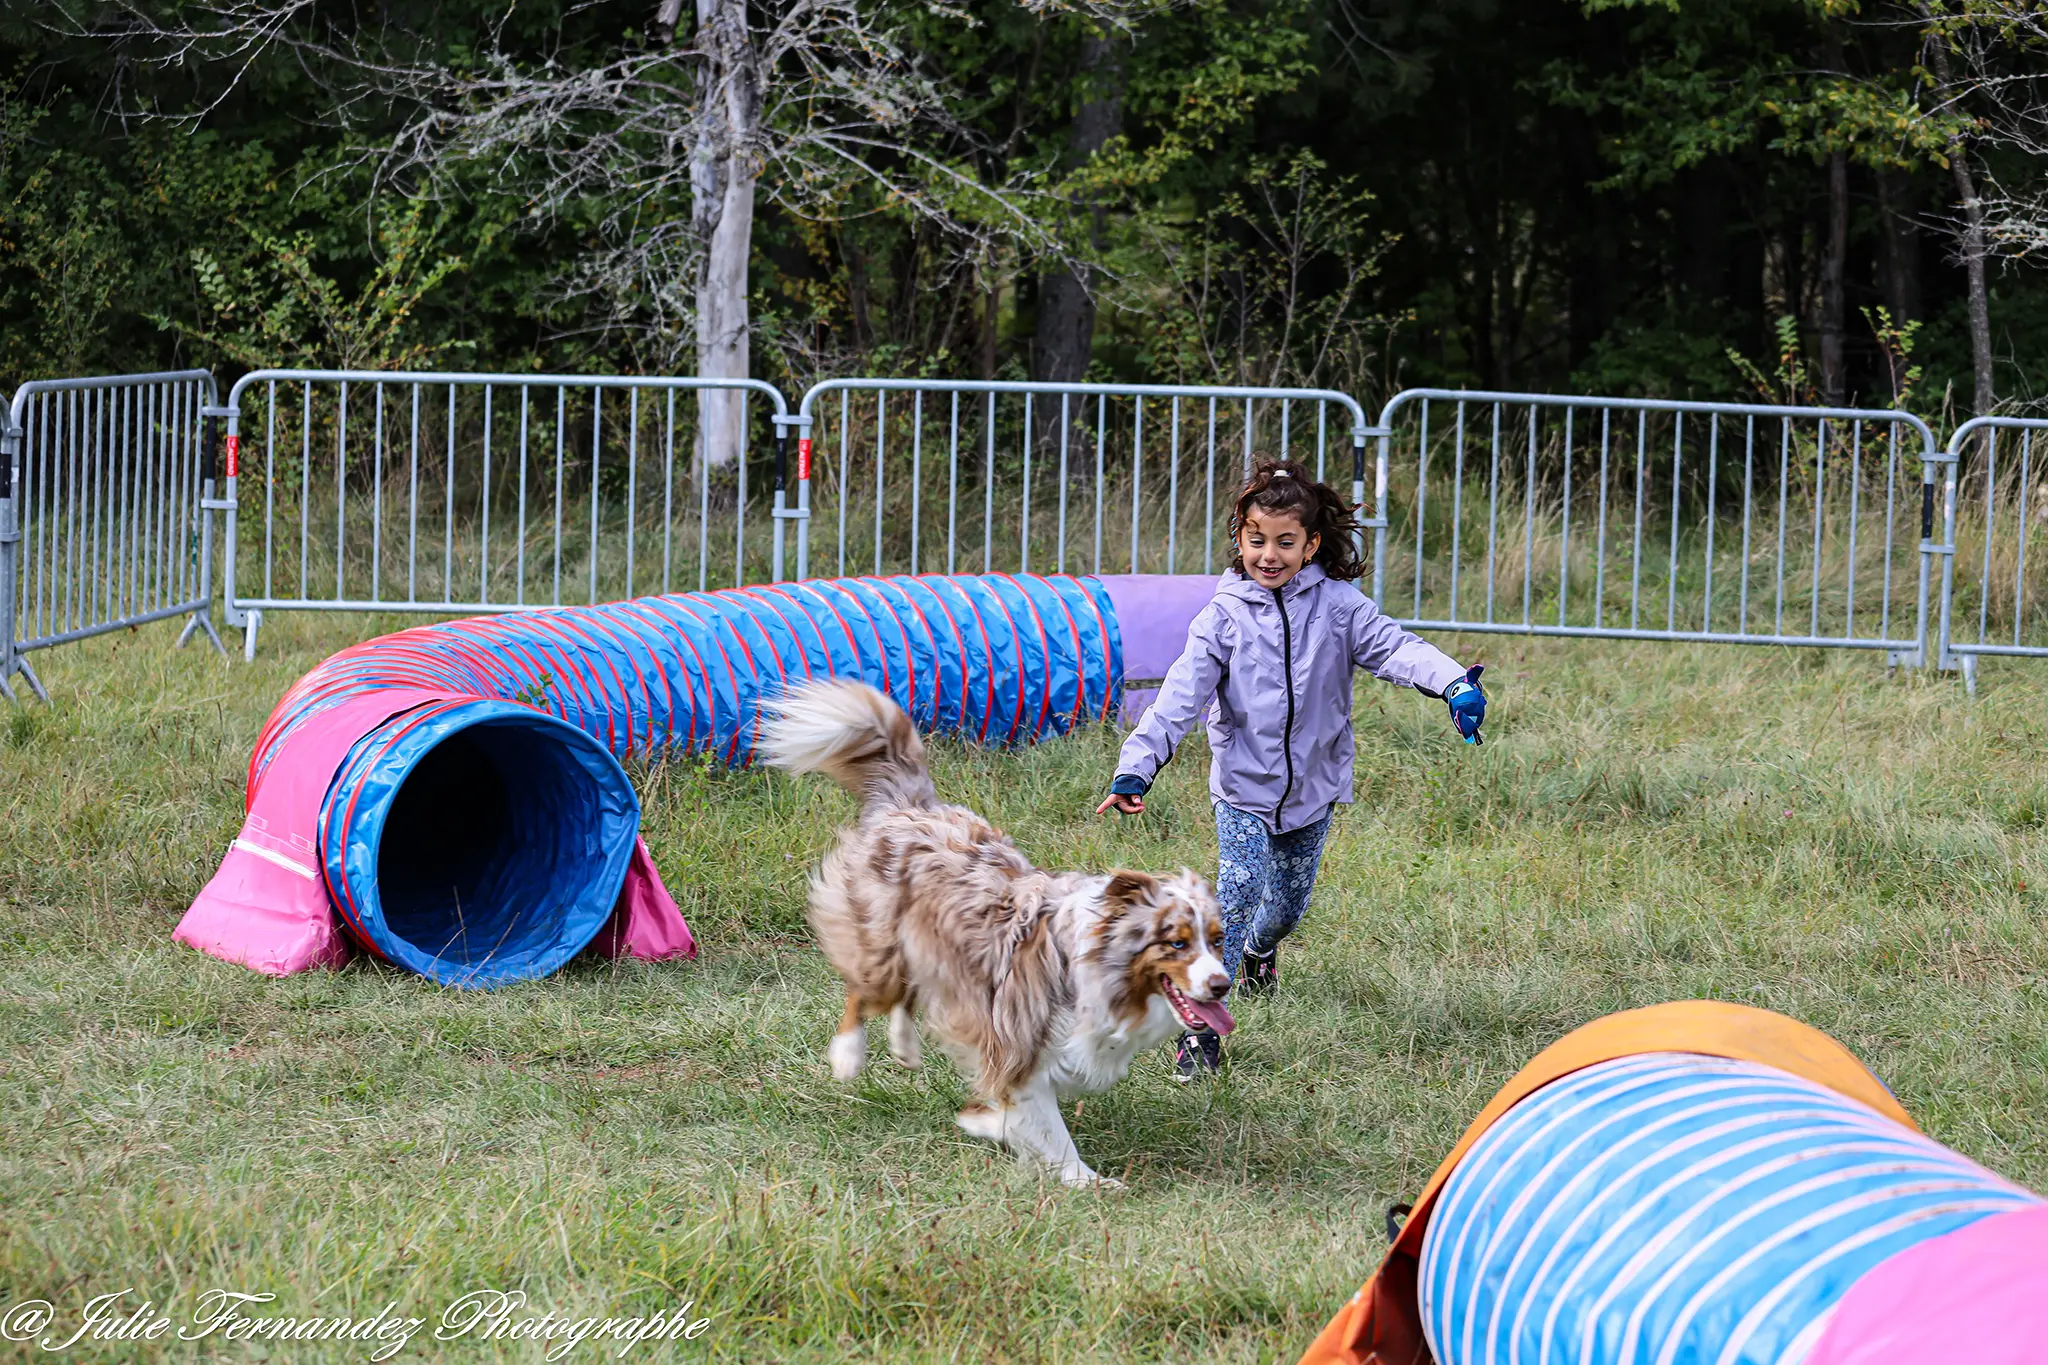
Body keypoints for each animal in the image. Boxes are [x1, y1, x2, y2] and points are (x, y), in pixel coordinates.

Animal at [757, 679, 1220, 1186]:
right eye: (1176, 943)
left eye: (1216, 941)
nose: (1222, 985)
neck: (1097, 970)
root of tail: (911, 805)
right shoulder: (1017, 1049)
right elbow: (1047, 1128)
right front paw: (1085, 1180)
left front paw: (989, 1123)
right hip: (882, 944)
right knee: (863, 992)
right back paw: (847, 1057)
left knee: (907, 994)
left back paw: (904, 1048)